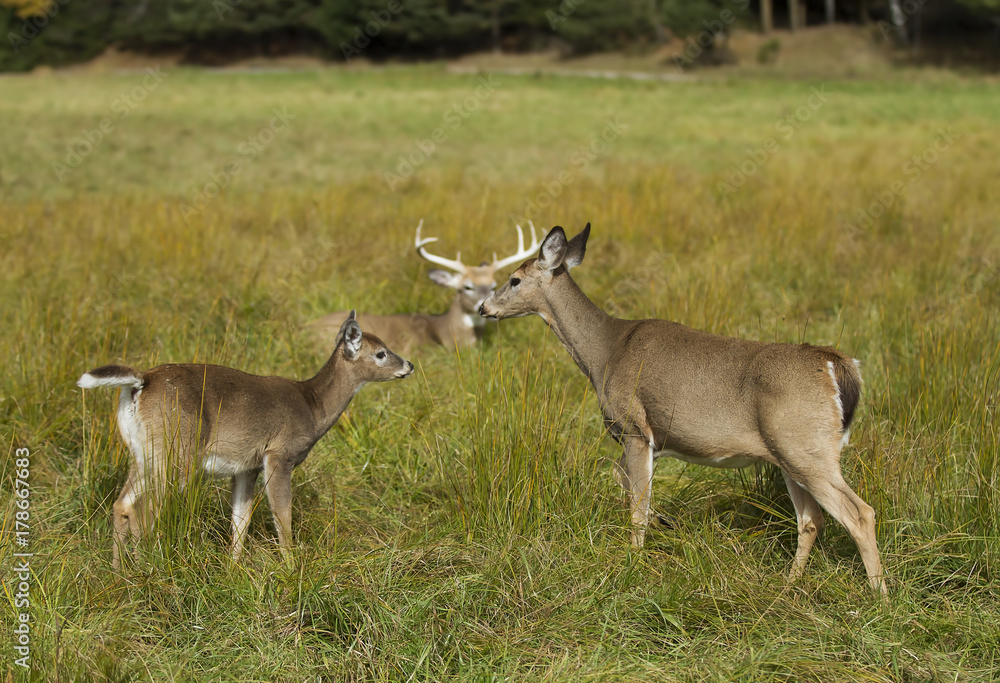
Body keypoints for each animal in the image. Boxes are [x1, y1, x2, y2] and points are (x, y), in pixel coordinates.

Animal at [77, 312, 413, 568]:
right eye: (381, 353)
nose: (409, 365)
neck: (313, 406)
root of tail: (141, 382)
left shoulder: (246, 467)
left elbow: (241, 520)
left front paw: (234, 569)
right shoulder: (279, 454)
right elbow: (282, 517)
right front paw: (293, 570)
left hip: (144, 453)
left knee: (122, 504)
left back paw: (119, 572)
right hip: (178, 450)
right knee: (143, 511)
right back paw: (146, 570)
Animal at [479, 224, 886, 595]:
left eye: (514, 280)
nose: (484, 307)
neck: (604, 352)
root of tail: (837, 364)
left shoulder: (634, 427)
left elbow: (638, 508)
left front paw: (633, 564)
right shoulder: (649, 441)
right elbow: (626, 487)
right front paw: (661, 528)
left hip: (805, 446)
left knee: (859, 513)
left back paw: (880, 595)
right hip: (789, 453)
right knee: (811, 519)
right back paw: (789, 585)